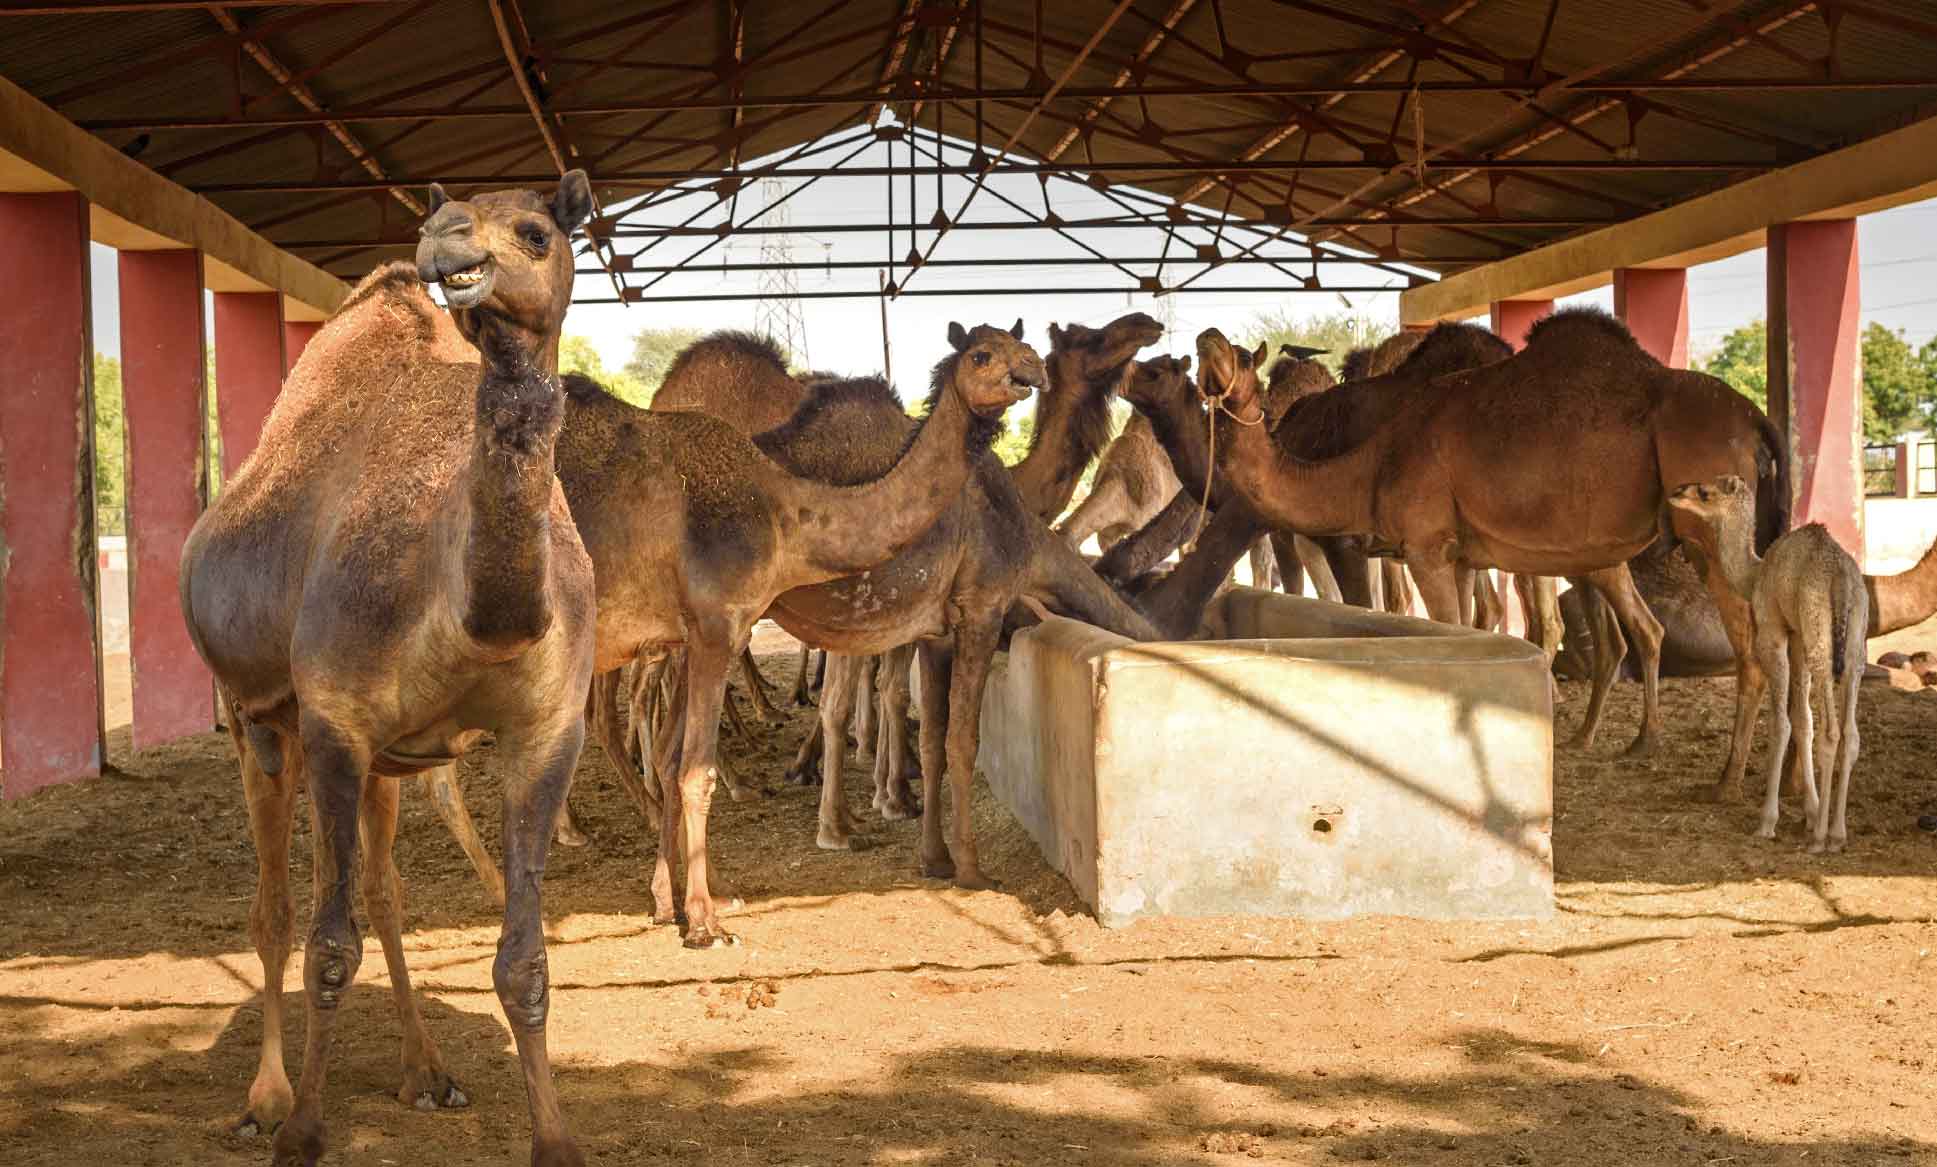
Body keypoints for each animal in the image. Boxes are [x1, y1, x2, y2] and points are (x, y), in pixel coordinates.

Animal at [184, 172, 604, 1163]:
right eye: (438, 221)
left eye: (537, 230)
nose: (447, 241)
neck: (468, 613)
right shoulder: (336, 714)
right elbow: (327, 947)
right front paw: (301, 1130)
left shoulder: (546, 730)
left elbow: (523, 961)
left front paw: (554, 1138)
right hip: (259, 721)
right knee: (277, 907)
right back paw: (264, 1095)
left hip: (380, 761)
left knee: (380, 891)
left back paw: (426, 1071)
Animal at [1208, 306, 1782, 798]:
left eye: (1243, 359)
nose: (1208, 337)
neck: (1371, 460)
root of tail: (1755, 417)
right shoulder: (1460, 556)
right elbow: (1469, 628)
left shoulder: (1422, 547)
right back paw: (1643, 743)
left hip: (1705, 527)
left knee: (1742, 641)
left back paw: (1729, 780)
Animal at [1665, 476, 1859, 849]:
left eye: (1706, 493)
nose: (1676, 493)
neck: (1754, 574)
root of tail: (1841, 579)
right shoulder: (1796, 635)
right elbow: (1802, 720)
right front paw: (1811, 813)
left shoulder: (1773, 629)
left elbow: (1781, 722)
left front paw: (1769, 821)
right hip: (1854, 641)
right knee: (1851, 733)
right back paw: (1838, 833)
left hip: (1820, 637)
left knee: (1831, 731)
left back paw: (1822, 839)